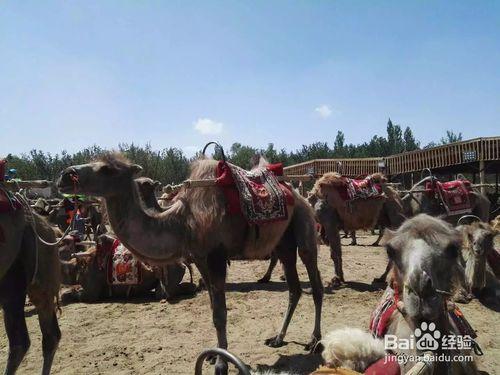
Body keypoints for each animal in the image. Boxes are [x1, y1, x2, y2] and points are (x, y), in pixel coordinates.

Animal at [57, 153, 324, 375]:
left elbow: (220, 314)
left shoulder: (216, 257)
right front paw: (213, 355)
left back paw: (314, 341)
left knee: (315, 283)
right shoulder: (200, 259)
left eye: (107, 169)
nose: (65, 175)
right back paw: (278, 338)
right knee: (294, 288)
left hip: (305, 226)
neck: (183, 223)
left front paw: (220, 364)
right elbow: (213, 310)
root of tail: (298, 194)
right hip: (283, 243)